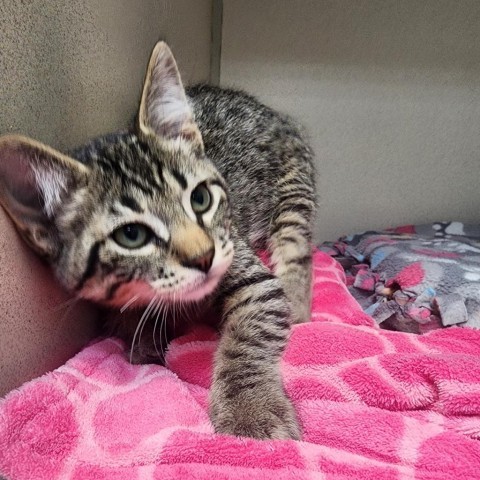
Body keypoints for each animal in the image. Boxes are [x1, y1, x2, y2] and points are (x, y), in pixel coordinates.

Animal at [0, 42, 316, 438]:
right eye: (131, 235)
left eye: (201, 199)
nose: (204, 256)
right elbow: (129, 321)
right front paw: (145, 338)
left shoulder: (244, 262)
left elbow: (251, 333)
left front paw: (250, 410)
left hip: (294, 180)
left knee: (295, 246)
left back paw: (298, 304)